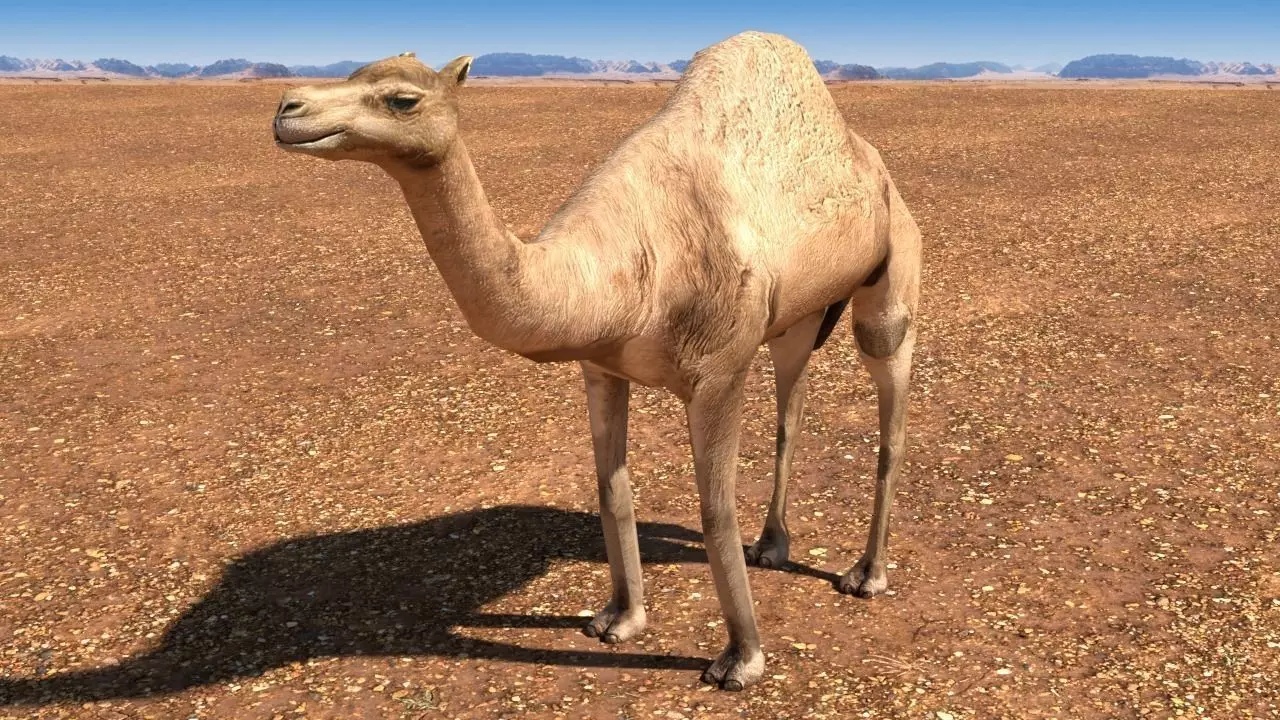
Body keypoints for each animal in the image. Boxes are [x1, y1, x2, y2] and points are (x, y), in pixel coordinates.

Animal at [272, 31, 921, 690]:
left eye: (402, 98)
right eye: (354, 69)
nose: (288, 108)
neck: (623, 272)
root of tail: (874, 164)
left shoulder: (717, 373)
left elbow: (714, 511)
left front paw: (741, 660)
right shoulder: (602, 368)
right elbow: (612, 489)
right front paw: (619, 619)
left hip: (891, 280)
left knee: (889, 412)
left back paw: (866, 574)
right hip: (797, 317)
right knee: (791, 406)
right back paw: (770, 546)